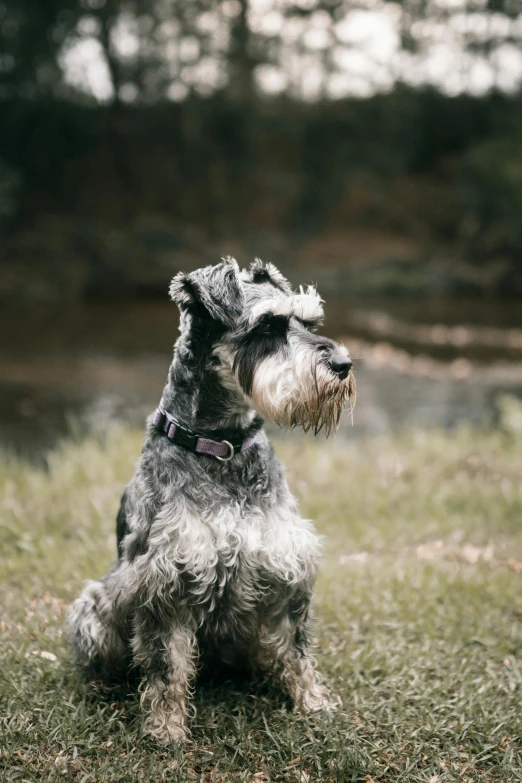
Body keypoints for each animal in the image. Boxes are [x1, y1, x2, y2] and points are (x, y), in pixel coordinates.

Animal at [67, 258, 354, 748]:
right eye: (269, 325)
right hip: (94, 604)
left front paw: (314, 702)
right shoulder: (166, 584)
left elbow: (296, 650)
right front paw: (166, 729)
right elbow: (166, 669)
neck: (223, 447)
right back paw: (104, 686)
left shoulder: (286, 571)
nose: (343, 363)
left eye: (310, 322)